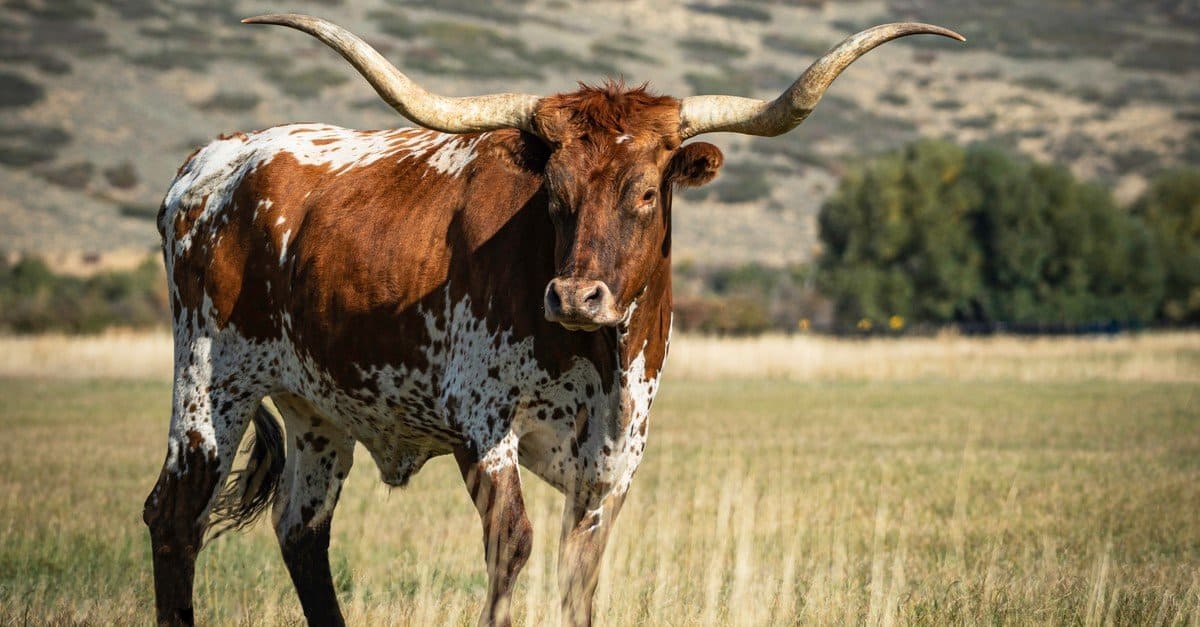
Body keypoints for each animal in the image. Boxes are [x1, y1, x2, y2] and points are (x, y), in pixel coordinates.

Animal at [142, 13, 962, 627]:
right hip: (211, 385)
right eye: (556, 193)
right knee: (174, 518)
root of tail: (211, 159)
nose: (574, 297)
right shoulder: (483, 421)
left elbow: (580, 571)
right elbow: (512, 548)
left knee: (302, 534)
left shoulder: (616, 455)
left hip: (319, 411)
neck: (599, 356)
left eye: (645, 192)